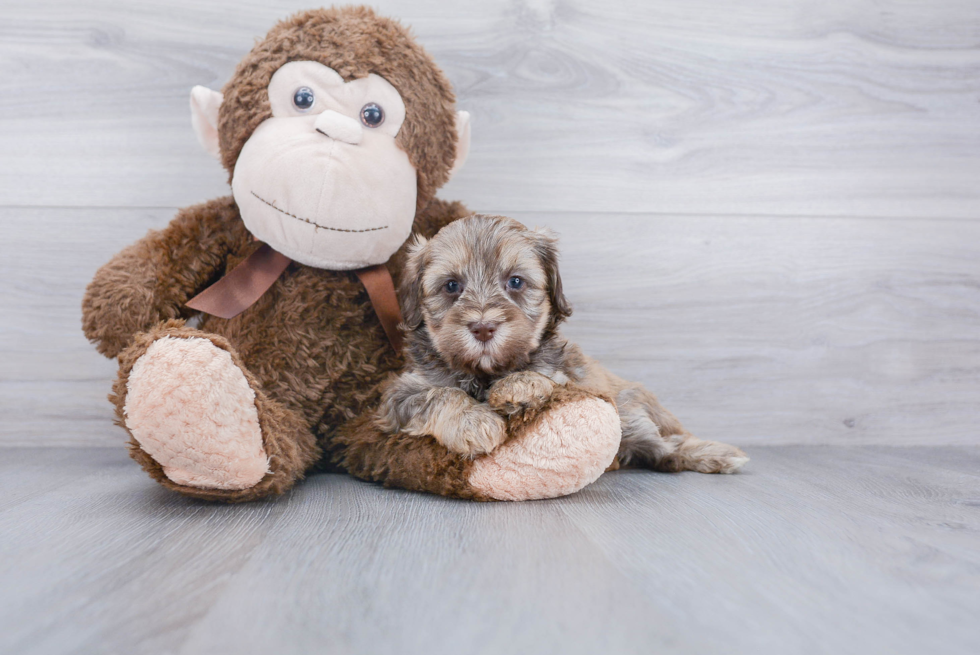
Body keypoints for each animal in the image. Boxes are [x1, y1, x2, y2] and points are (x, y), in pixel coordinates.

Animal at [378, 217, 748, 476]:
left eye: (515, 282)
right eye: (451, 286)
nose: (483, 327)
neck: (485, 372)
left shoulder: (572, 376)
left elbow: (547, 375)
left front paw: (517, 387)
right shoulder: (399, 396)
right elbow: (440, 394)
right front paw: (472, 422)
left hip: (632, 414)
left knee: (668, 444)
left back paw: (717, 454)